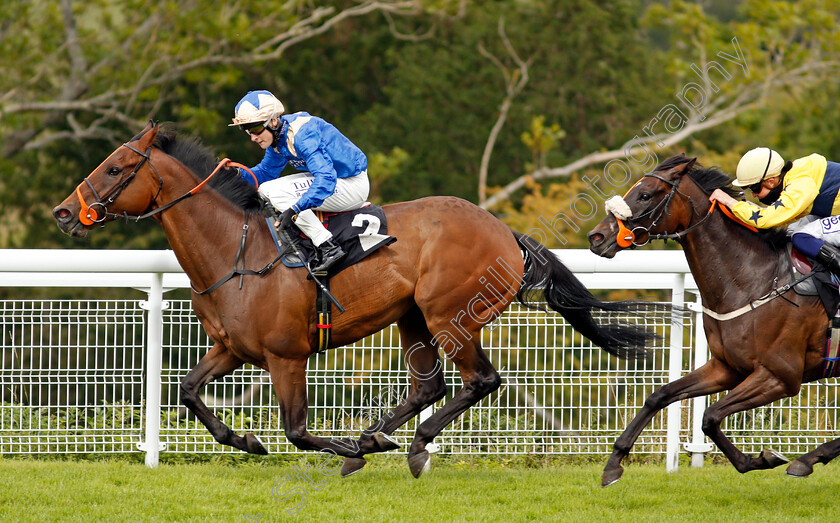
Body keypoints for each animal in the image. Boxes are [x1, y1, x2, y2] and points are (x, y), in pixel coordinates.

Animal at [52, 123, 656, 478]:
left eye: (114, 167)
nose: (63, 212)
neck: (234, 251)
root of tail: (506, 232)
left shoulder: (286, 356)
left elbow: (296, 431)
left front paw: (340, 451)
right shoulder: (232, 349)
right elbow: (188, 391)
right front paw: (244, 440)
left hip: (450, 315)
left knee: (480, 380)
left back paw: (402, 445)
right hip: (413, 317)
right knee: (431, 386)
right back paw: (377, 438)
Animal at [588, 155, 836, 488]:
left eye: (645, 194)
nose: (596, 237)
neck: (753, 281)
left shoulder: (780, 375)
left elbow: (710, 417)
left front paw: (758, 459)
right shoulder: (725, 367)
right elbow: (659, 396)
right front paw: (614, 463)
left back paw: (807, 459)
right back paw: (810, 458)